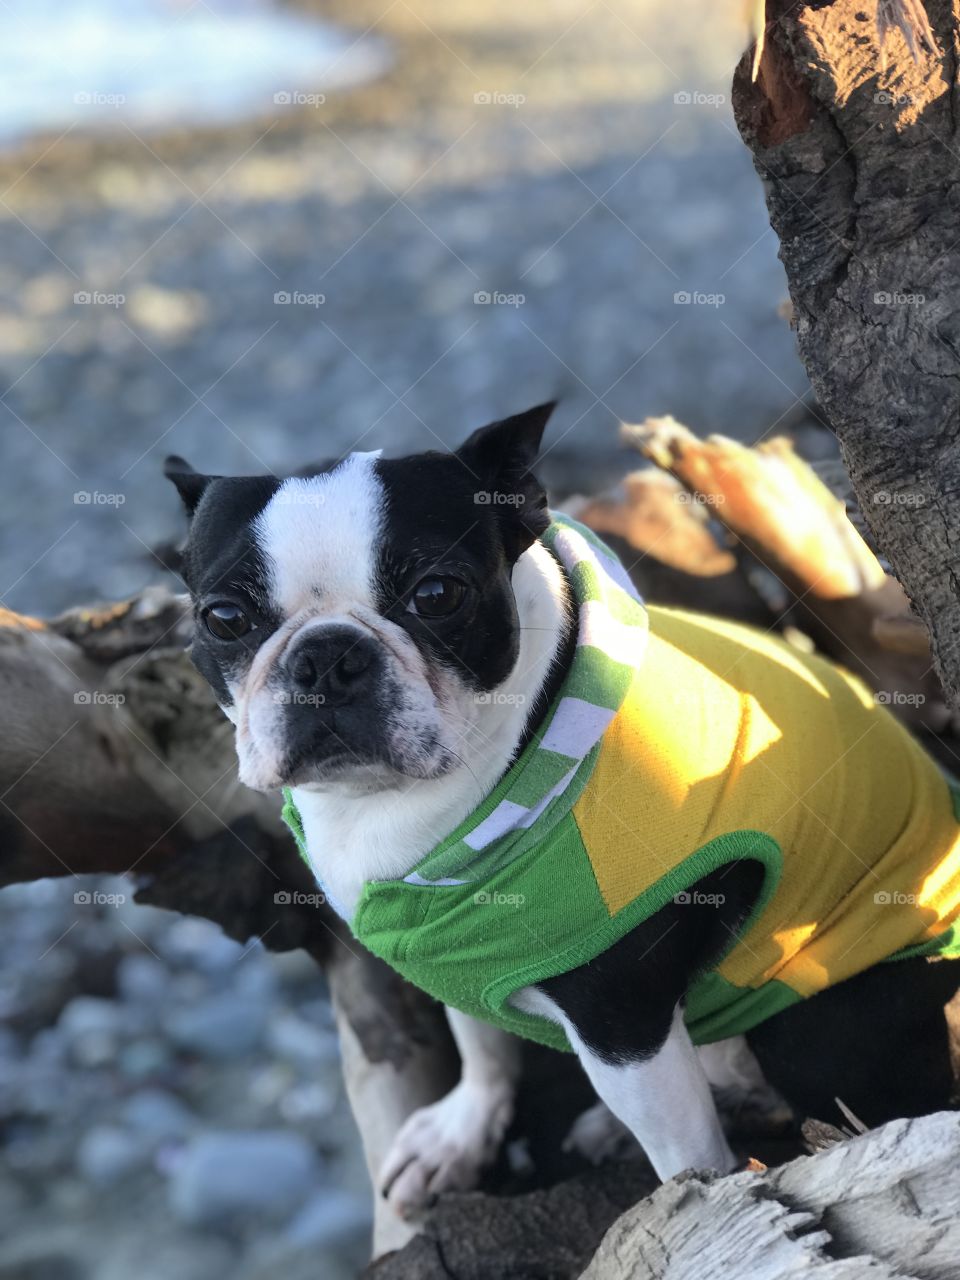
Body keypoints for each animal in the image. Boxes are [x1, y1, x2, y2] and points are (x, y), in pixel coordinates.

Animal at [167, 409, 960, 1218]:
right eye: (223, 617)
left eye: (437, 594)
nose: (327, 656)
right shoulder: (456, 948)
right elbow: (482, 1042)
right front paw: (462, 1132)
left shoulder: (618, 1010)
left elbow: (683, 1148)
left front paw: (700, 1198)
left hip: (817, 1013)